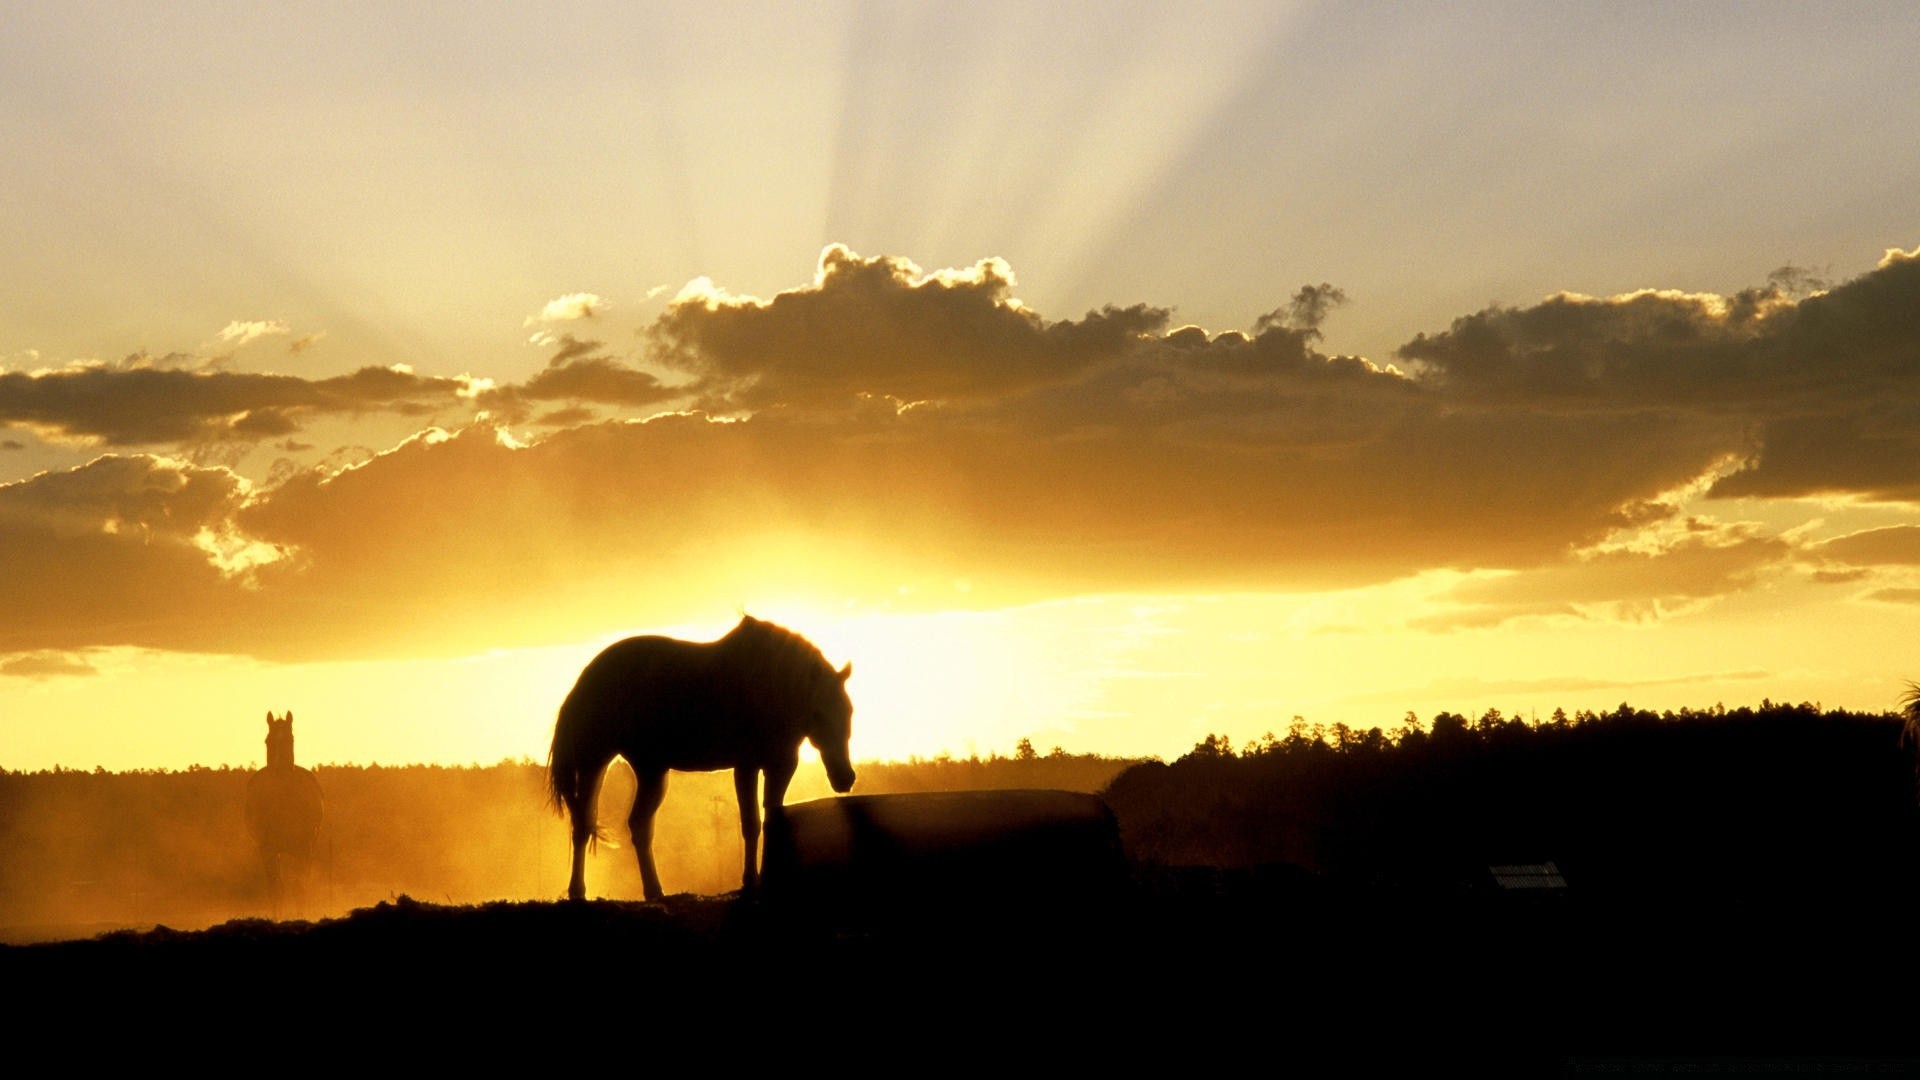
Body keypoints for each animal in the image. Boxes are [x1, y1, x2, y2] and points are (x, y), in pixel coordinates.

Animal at [243, 711, 326, 910]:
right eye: (267, 741)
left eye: (290, 739)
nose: (278, 772)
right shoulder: (268, 849)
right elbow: (276, 890)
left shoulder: (304, 848)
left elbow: (299, 889)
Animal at [552, 614, 860, 899]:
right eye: (818, 714)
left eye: (849, 711)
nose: (845, 778)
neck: (771, 687)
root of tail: (584, 680)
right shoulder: (747, 766)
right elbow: (751, 824)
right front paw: (750, 881)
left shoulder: (781, 765)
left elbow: (773, 818)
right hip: (594, 762)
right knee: (583, 824)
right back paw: (579, 891)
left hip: (651, 770)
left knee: (637, 825)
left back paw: (654, 891)